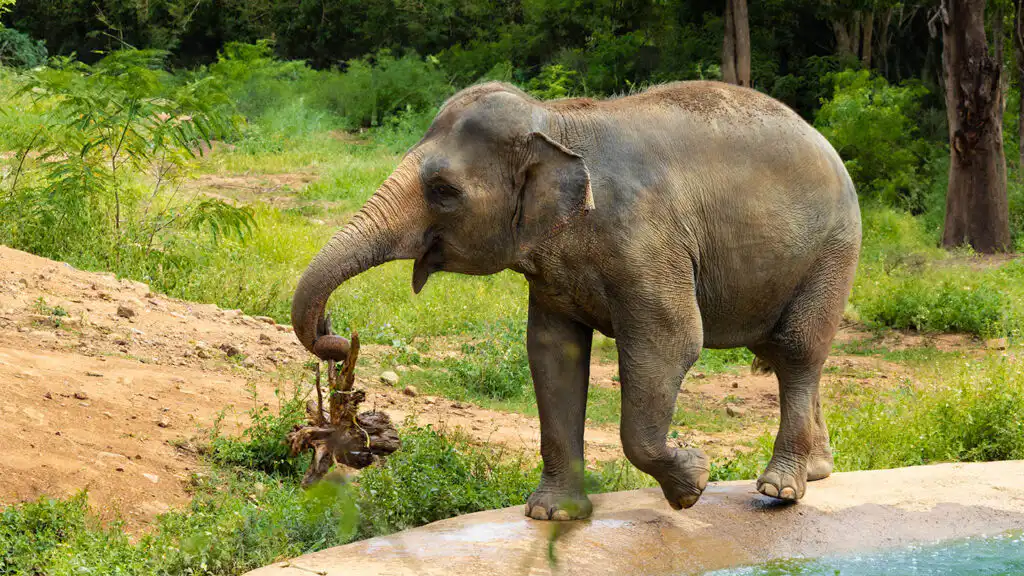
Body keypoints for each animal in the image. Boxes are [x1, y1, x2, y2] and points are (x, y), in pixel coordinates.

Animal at [291, 80, 862, 521]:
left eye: (443, 191)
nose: (335, 336)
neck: (556, 121)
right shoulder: (552, 273)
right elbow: (552, 355)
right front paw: (552, 514)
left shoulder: (647, 243)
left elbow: (672, 341)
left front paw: (692, 486)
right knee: (784, 353)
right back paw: (817, 471)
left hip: (833, 250)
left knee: (796, 349)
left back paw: (779, 489)